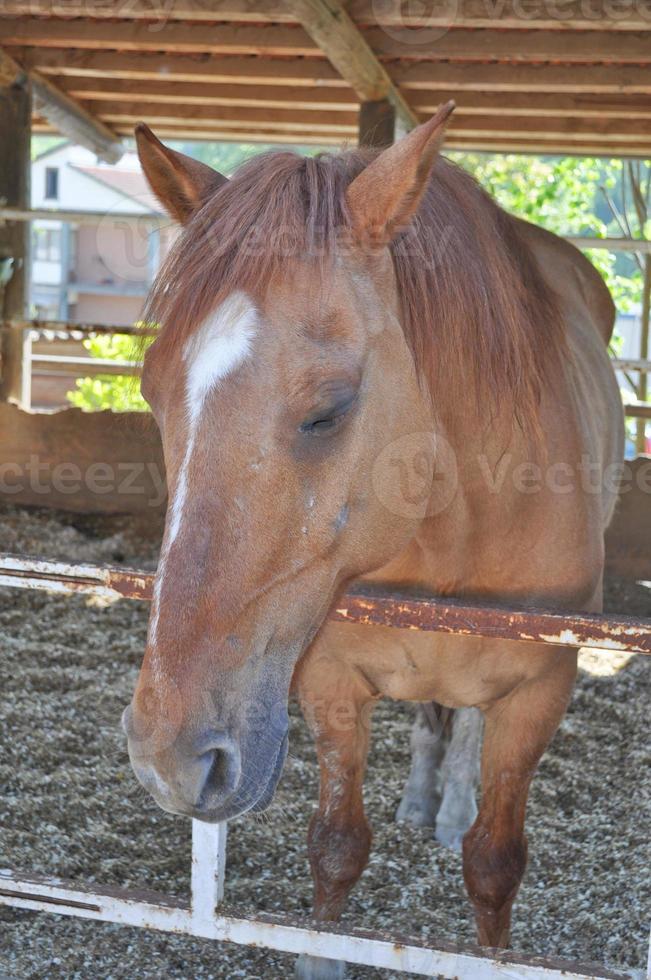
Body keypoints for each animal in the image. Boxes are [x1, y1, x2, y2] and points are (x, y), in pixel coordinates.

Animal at [123, 103, 628, 976]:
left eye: (328, 409)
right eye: (153, 393)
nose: (168, 757)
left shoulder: (538, 693)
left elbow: (494, 865)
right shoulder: (330, 679)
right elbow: (336, 848)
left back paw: (450, 806)